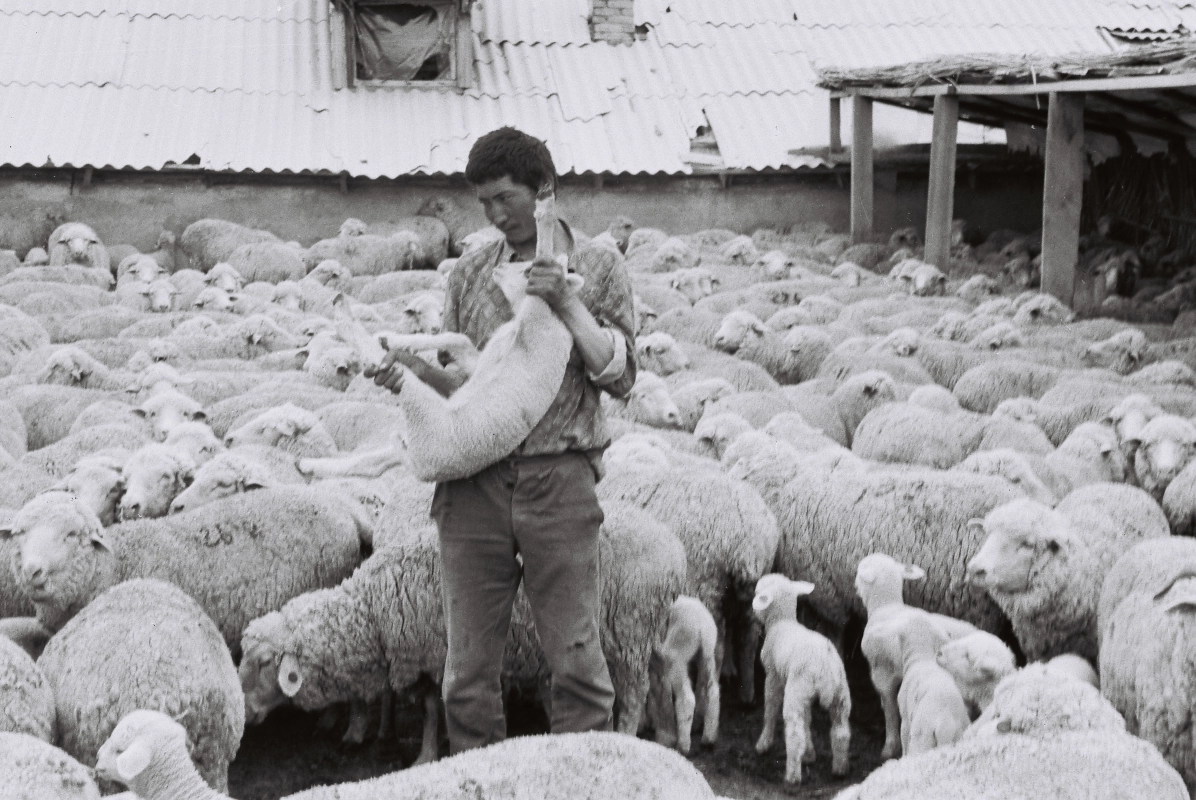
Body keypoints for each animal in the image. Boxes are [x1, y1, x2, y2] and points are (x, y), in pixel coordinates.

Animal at [746, 573, 851, 784]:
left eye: (758, 593)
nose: (752, 610)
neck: (781, 621)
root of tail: (825, 663)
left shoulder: (773, 675)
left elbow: (770, 708)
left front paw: (763, 743)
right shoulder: (806, 696)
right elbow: (807, 720)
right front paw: (810, 754)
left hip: (798, 688)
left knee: (794, 731)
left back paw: (792, 776)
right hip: (839, 693)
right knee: (841, 730)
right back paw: (840, 769)